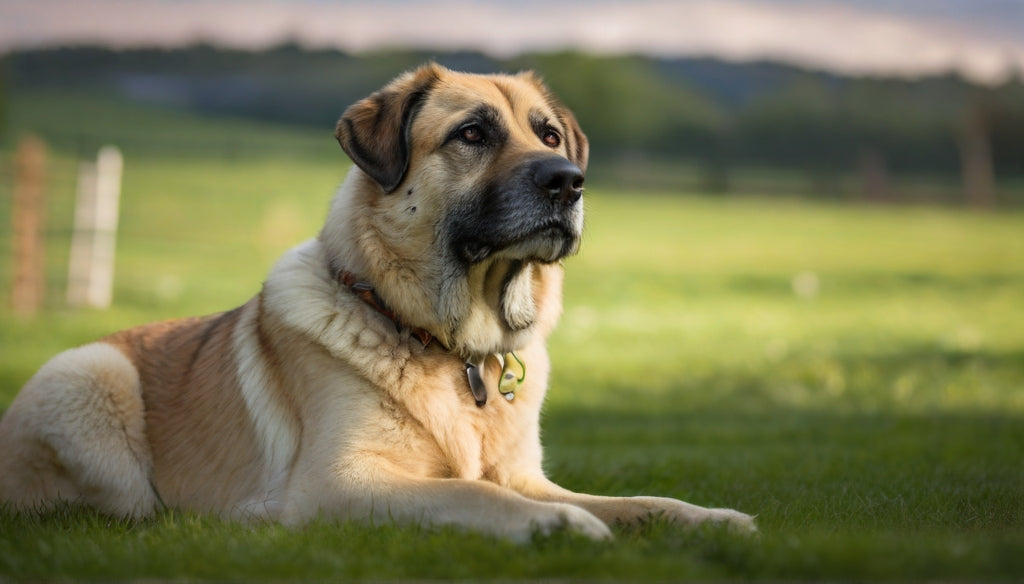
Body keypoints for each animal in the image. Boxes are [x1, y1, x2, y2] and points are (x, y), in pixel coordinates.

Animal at [0, 63, 757, 540]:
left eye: (549, 135)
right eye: (472, 134)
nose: (570, 182)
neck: (455, 349)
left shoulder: (528, 474)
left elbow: (640, 501)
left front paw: (713, 519)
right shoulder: (340, 484)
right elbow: (471, 491)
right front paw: (562, 526)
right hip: (90, 375)